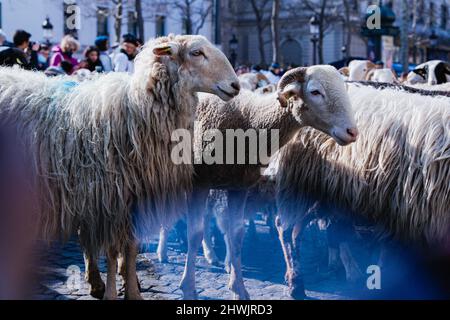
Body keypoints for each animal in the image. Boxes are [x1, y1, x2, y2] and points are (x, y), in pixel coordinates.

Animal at [0, 35, 241, 300]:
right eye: (196, 53)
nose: (236, 86)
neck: (136, 110)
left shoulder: (133, 199)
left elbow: (131, 248)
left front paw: (133, 291)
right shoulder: (111, 200)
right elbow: (114, 252)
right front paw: (113, 293)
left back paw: (94, 281)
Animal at [179, 65, 358, 300]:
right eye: (315, 91)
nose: (352, 132)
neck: (249, 121)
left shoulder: (239, 187)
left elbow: (236, 234)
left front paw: (238, 289)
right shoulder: (199, 183)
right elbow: (194, 233)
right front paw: (188, 288)